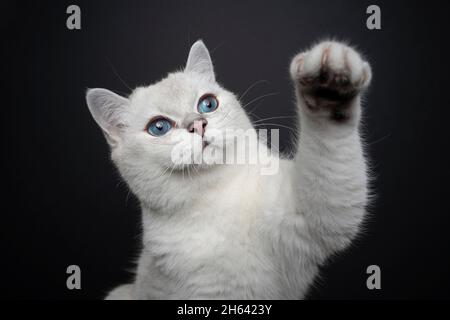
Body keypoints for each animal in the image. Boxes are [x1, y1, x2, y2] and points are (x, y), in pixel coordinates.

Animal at [85, 38, 372, 298]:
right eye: (159, 127)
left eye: (207, 103)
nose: (198, 124)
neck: (217, 197)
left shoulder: (309, 217)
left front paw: (330, 81)